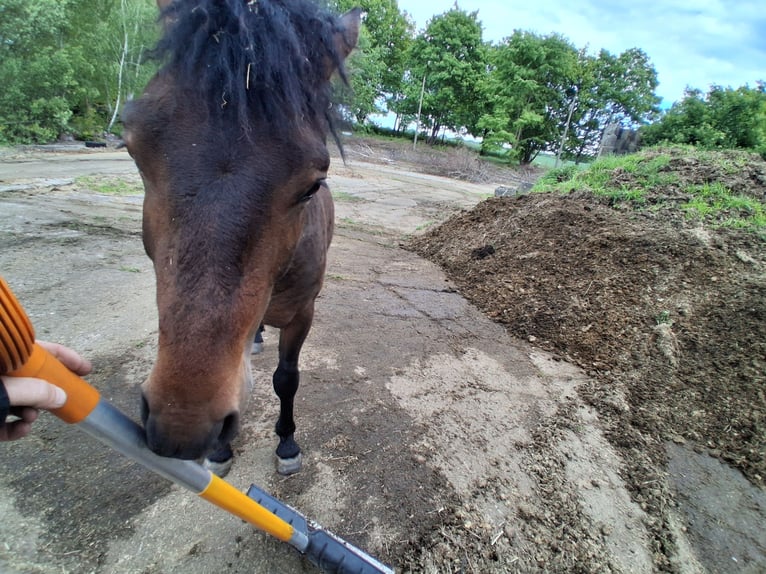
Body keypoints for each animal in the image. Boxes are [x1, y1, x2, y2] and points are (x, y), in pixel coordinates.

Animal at [121, 0, 360, 475]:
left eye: (313, 183)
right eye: (133, 150)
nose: (183, 425)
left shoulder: (303, 314)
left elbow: (287, 379)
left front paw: (287, 444)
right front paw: (219, 451)